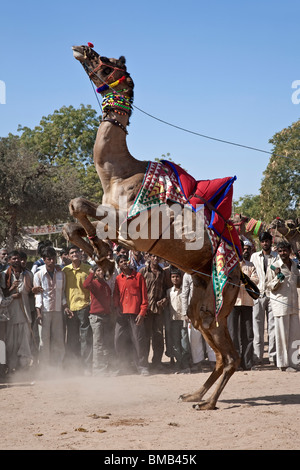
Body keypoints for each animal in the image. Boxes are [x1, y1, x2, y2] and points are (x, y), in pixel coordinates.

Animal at [63, 45, 253, 412]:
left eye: (107, 63)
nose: (81, 49)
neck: (116, 173)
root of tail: (241, 271)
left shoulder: (131, 228)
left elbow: (79, 206)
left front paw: (102, 255)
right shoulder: (113, 219)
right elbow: (72, 216)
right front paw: (100, 255)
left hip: (225, 291)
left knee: (231, 355)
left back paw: (207, 403)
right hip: (202, 287)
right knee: (210, 336)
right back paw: (194, 395)